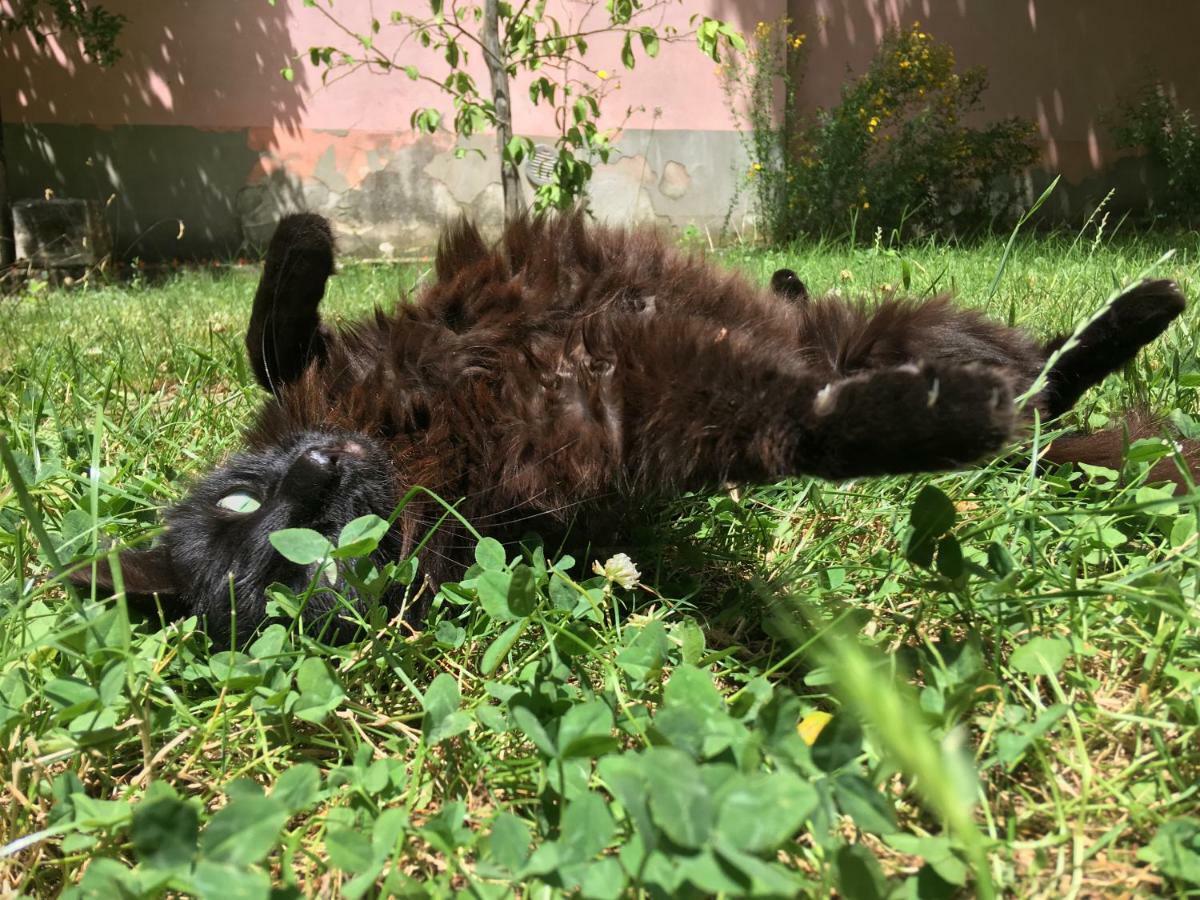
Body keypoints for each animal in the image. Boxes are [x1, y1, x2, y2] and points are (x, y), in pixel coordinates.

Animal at [72, 213, 1190, 643]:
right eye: (290, 567)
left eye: (245, 501)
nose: (315, 466)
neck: (412, 435)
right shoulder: (610, 435)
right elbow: (803, 432)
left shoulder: (326, 373)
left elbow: (271, 330)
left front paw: (306, 235)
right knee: (1005, 404)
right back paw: (964, 401)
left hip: (896, 321)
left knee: (1041, 368)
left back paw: (1139, 312)